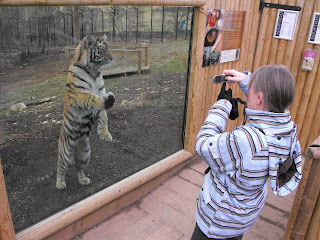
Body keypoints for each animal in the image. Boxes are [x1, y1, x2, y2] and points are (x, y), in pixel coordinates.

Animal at [56, 34, 116, 190]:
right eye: (101, 49)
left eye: (108, 47)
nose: (112, 58)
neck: (94, 72)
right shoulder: (79, 94)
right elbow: (91, 97)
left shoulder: (101, 92)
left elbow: (104, 116)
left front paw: (104, 134)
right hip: (65, 154)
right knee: (60, 167)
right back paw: (60, 183)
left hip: (85, 154)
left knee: (78, 168)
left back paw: (83, 180)